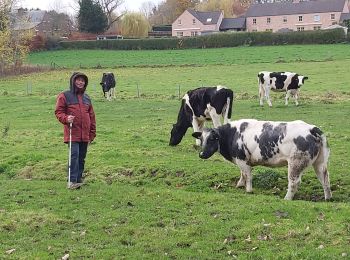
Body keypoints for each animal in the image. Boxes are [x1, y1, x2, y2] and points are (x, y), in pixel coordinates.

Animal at [193, 119, 332, 200]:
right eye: (201, 139)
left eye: (212, 139)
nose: (201, 154)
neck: (232, 134)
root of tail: (312, 129)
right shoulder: (242, 161)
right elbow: (242, 174)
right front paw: (240, 184)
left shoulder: (242, 161)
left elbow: (248, 176)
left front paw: (248, 190)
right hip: (320, 163)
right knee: (325, 178)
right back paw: (328, 197)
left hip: (295, 164)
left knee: (294, 182)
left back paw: (287, 198)